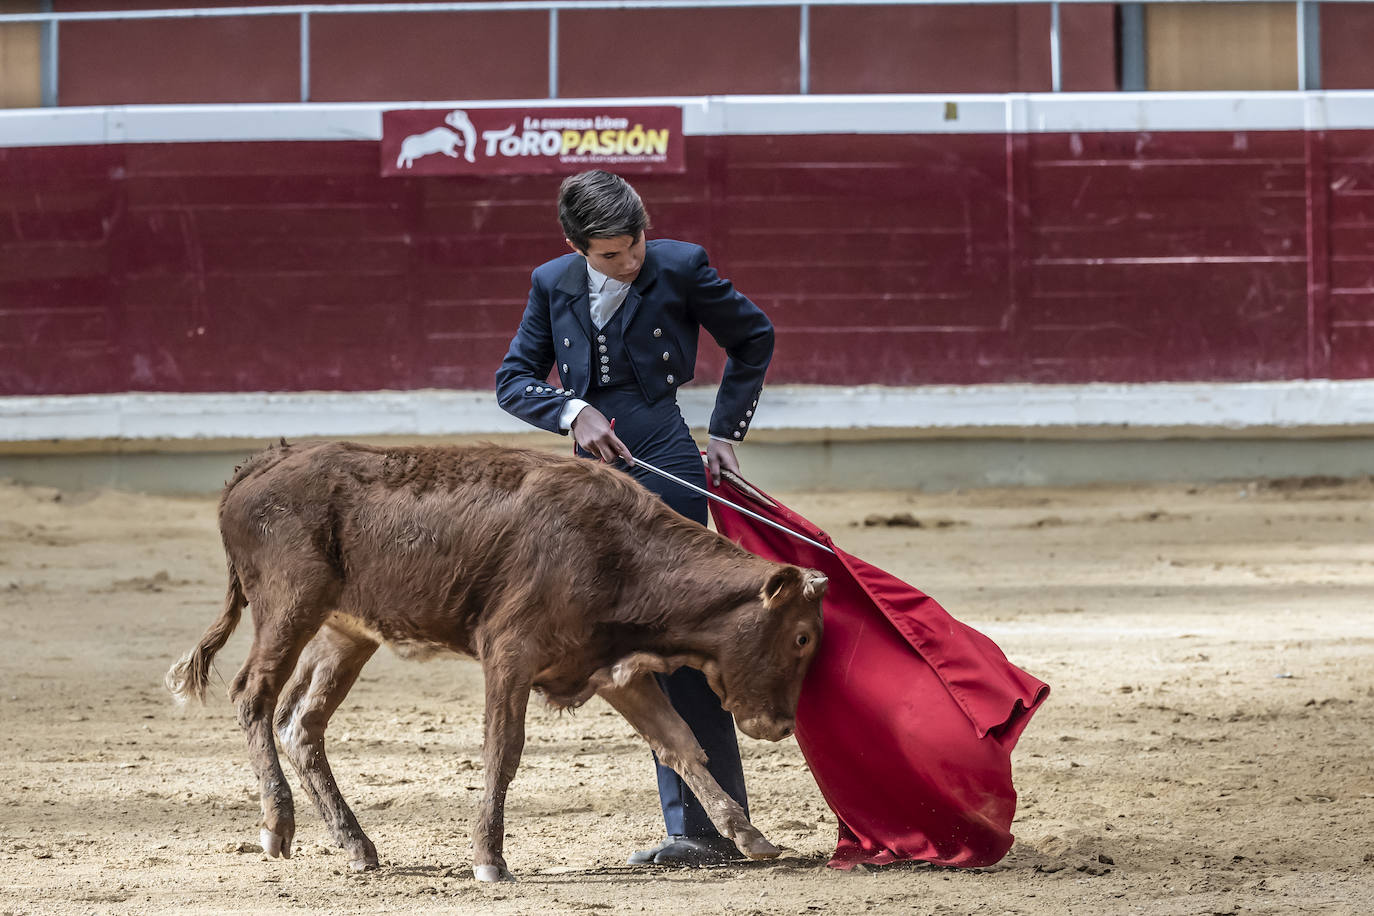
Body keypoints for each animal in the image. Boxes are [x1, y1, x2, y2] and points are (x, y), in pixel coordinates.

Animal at [164, 439, 818, 884]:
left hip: (345, 633)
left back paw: (356, 846)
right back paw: (277, 827)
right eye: (804, 638)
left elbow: (679, 742)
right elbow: (503, 751)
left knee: (301, 722)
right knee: (253, 695)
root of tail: (260, 464)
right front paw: (489, 859)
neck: (620, 551)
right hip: (289, 607)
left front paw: (750, 834)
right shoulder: (509, 653)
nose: (782, 725)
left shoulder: (608, 669)